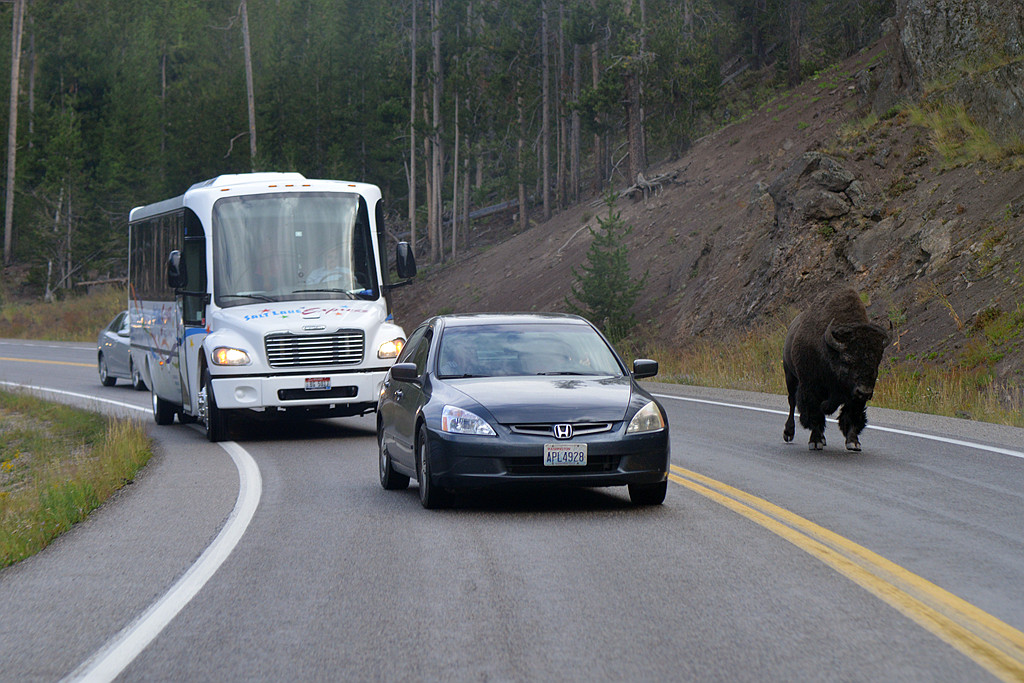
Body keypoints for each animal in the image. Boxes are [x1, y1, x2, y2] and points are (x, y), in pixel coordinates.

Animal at [782, 290, 888, 454]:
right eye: (847, 360)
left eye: (876, 361)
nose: (864, 391)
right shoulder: (810, 388)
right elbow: (814, 414)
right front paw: (815, 442)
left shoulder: (855, 397)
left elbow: (852, 415)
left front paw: (853, 443)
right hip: (790, 376)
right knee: (792, 402)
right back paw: (789, 433)